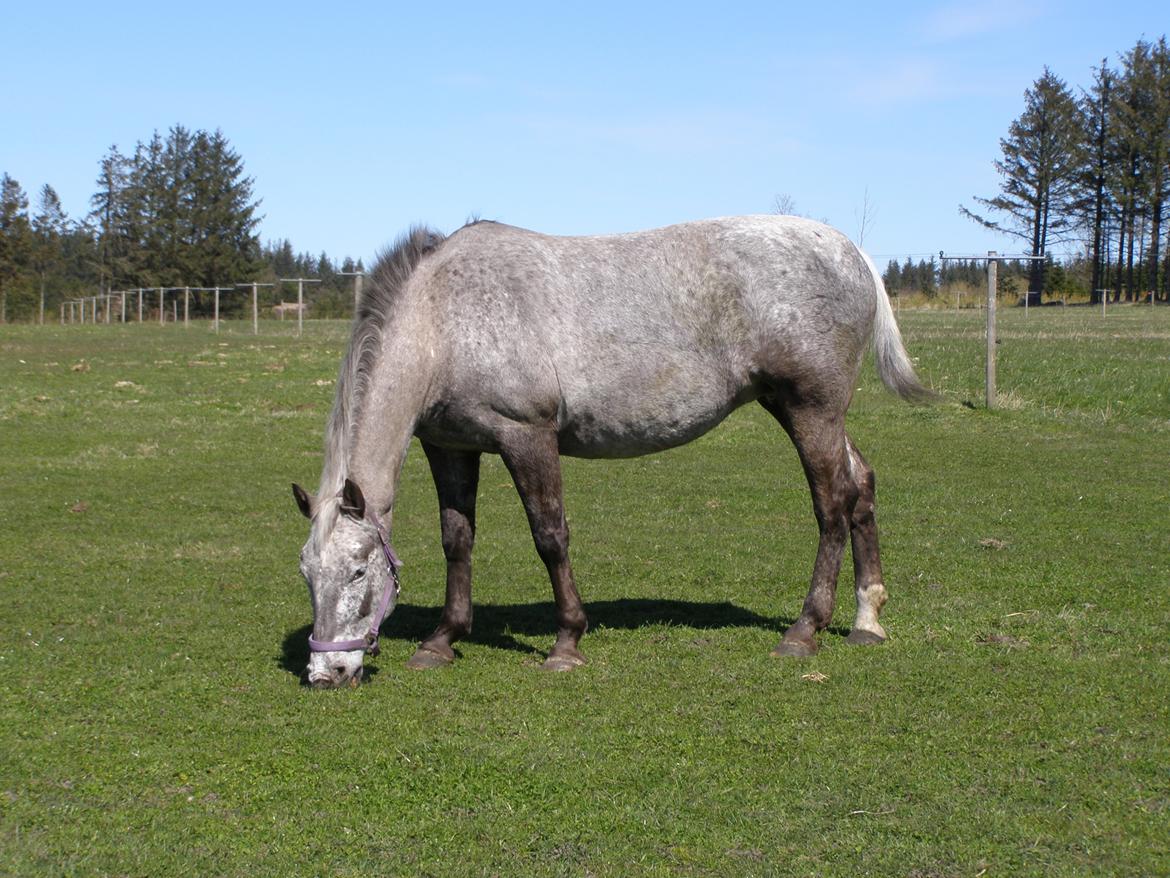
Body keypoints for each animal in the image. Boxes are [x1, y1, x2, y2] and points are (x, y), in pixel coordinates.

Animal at [292, 216, 931, 693]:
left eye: (357, 570)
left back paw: (804, 630)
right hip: (811, 412)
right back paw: (866, 619)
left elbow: (550, 536)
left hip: (809, 410)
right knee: (862, 488)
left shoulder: (527, 436)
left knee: (832, 505)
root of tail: (854, 254)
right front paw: (443, 640)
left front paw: (567, 642)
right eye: (306, 573)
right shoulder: (451, 446)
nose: (326, 673)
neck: (446, 318)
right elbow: (457, 541)